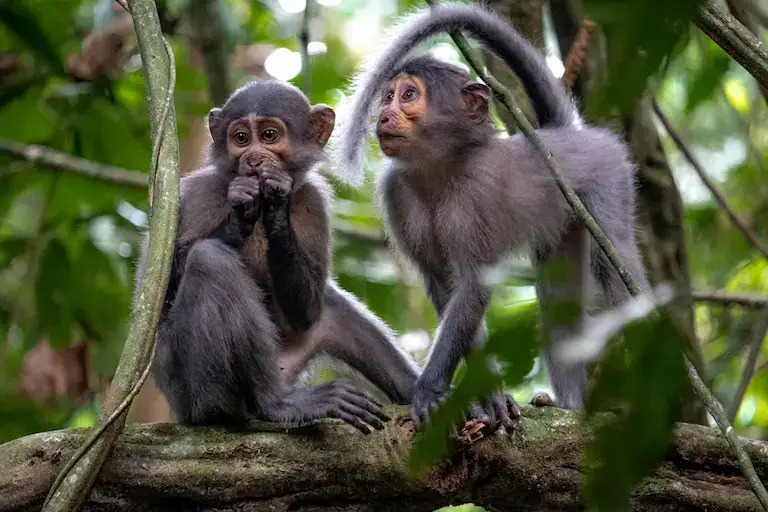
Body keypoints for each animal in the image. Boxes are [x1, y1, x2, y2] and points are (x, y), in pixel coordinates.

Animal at [133, 79, 420, 434]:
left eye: (269, 135)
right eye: (241, 138)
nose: (255, 158)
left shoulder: (313, 202)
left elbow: (307, 310)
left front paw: (278, 205)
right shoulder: (194, 194)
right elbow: (156, 291)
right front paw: (238, 212)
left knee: (331, 308)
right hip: (193, 395)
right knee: (209, 260)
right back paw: (273, 404)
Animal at [331, 3, 649, 431]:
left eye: (408, 95)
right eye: (387, 97)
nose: (383, 115)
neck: (439, 169)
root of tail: (567, 136)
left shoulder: (475, 192)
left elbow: (473, 285)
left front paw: (428, 390)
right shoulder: (396, 193)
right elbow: (446, 286)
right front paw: (491, 398)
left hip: (611, 177)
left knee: (614, 267)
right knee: (558, 293)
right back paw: (570, 405)